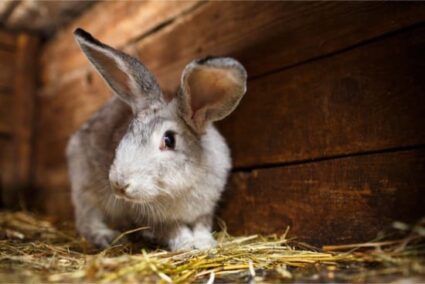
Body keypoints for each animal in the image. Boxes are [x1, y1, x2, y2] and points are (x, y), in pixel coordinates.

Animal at [65, 28, 247, 251]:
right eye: (129, 131)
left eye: (169, 140)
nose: (119, 184)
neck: (179, 189)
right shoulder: (156, 219)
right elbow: (174, 229)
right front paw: (186, 244)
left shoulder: (205, 209)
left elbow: (202, 225)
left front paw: (204, 243)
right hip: (85, 189)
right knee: (87, 219)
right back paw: (106, 236)